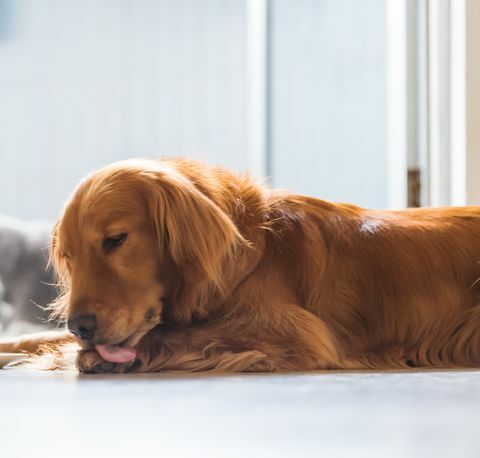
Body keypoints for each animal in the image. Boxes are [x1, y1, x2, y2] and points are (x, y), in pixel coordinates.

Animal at [0, 159, 480, 374]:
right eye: (69, 256)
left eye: (115, 240)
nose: (80, 325)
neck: (251, 257)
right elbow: (39, 336)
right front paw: (20, 346)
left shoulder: (297, 333)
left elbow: (182, 336)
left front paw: (78, 357)